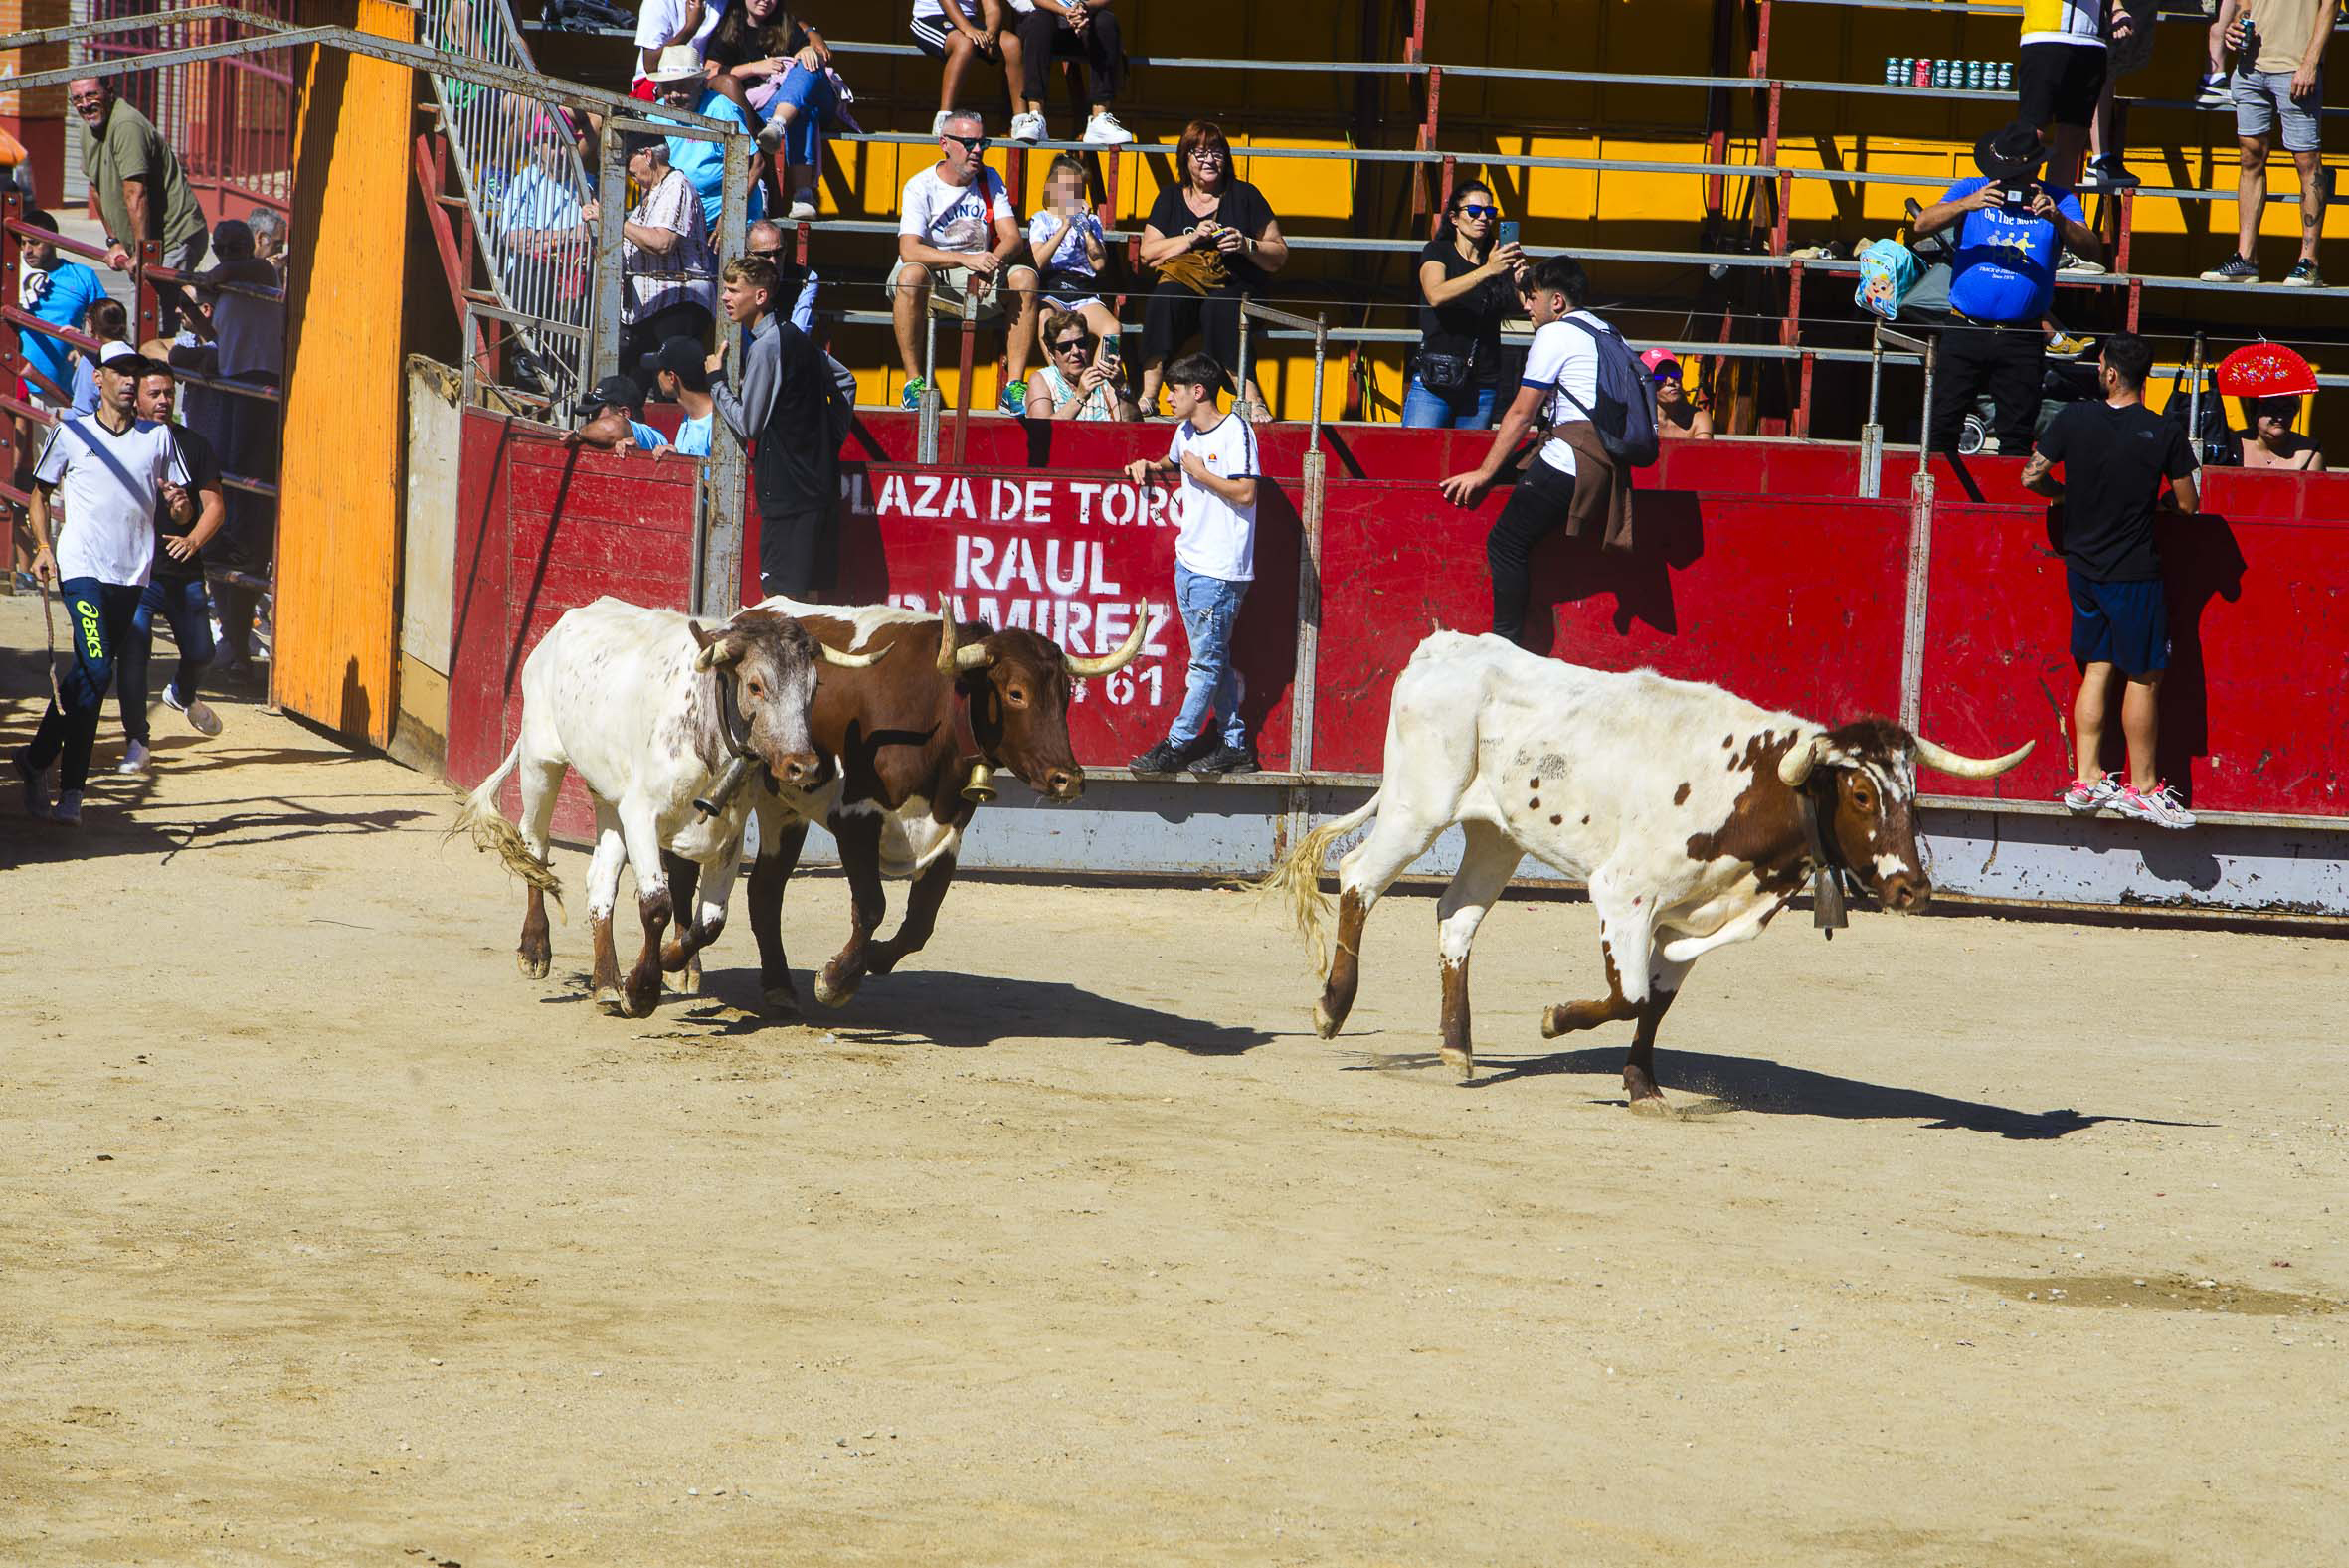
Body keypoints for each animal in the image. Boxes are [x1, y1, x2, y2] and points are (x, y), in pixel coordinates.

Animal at [455, 596, 883, 1018]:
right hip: (540, 760)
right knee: (536, 846)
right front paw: (641, 990)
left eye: (814, 688)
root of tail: (563, 624)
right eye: (755, 686)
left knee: (600, 881)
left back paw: (606, 982)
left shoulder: (727, 833)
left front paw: (668, 961)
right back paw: (535, 950)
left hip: (608, 799)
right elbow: (657, 905)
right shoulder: (641, 815)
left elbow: (711, 921)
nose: (804, 766)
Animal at [723, 591, 1146, 1018]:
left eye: (1066, 695)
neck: (934, 716)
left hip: (783, 810)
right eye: (1016, 693)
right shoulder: (856, 819)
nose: (1069, 778)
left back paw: (778, 987)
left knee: (765, 890)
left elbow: (920, 923)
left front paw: (874, 958)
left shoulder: (947, 833)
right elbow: (872, 905)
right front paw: (836, 980)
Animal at [1249, 628, 2039, 1108]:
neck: (1749, 789)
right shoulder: (1622, 895)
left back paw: (1455, 1048)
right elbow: (1626, 993)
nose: (1913, 888)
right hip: (1420, 806)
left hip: (1495, 834)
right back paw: (1332, 1008)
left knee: (1455, 918)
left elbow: (1654, 1001)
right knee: (1359, 876)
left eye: (1913, 796)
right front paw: (1555, 1019)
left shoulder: (1688, 920)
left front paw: (1641, 1085)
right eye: (1861, 793)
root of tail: (1441, 648)